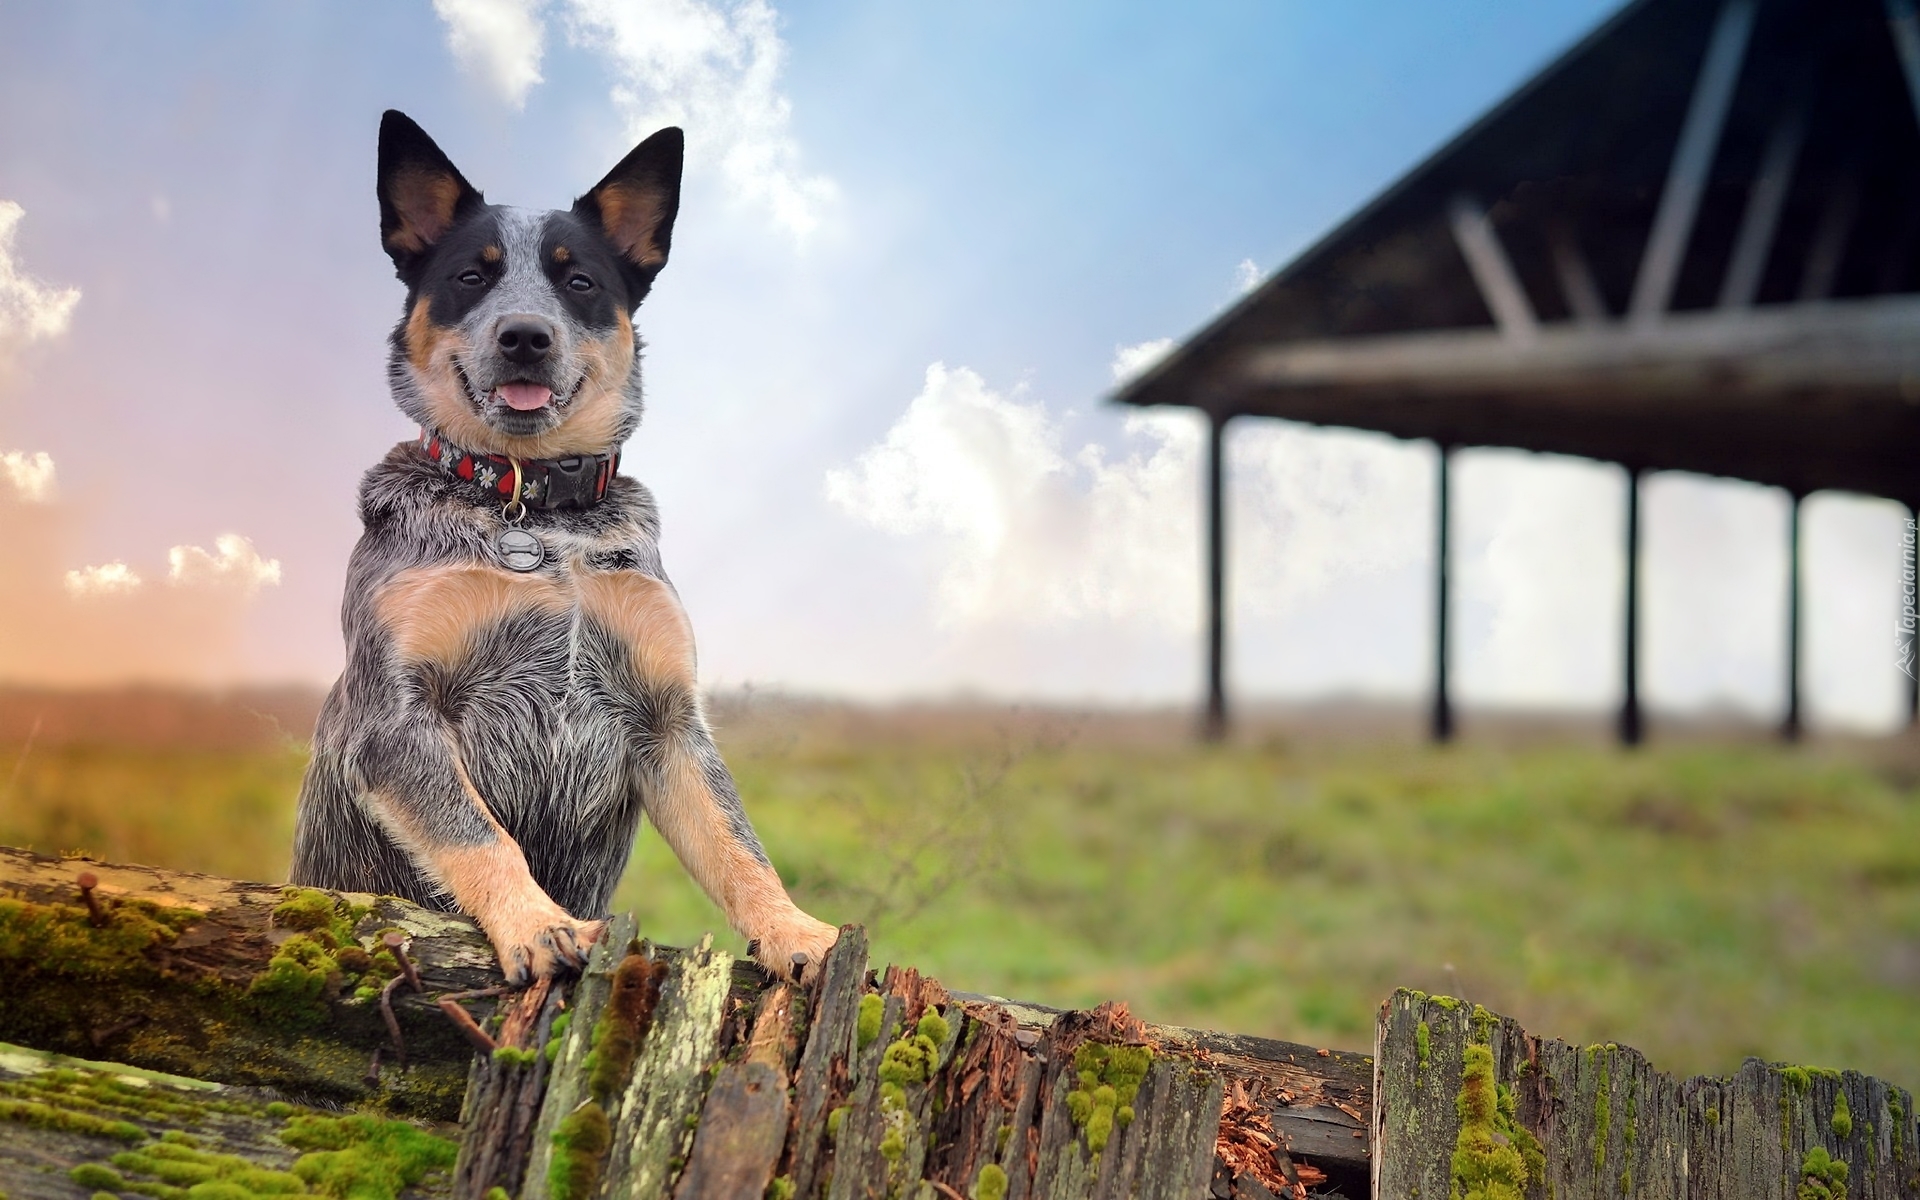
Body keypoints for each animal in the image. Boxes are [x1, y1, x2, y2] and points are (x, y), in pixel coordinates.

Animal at [288, 109, 837, 983]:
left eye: (578, 283)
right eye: (470, 277)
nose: (524, 335)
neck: (538, 512)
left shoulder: (667, 721)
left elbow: (738, 845)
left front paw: (797, 932)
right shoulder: (397, 719)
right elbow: (481, 835)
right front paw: (538, 926)